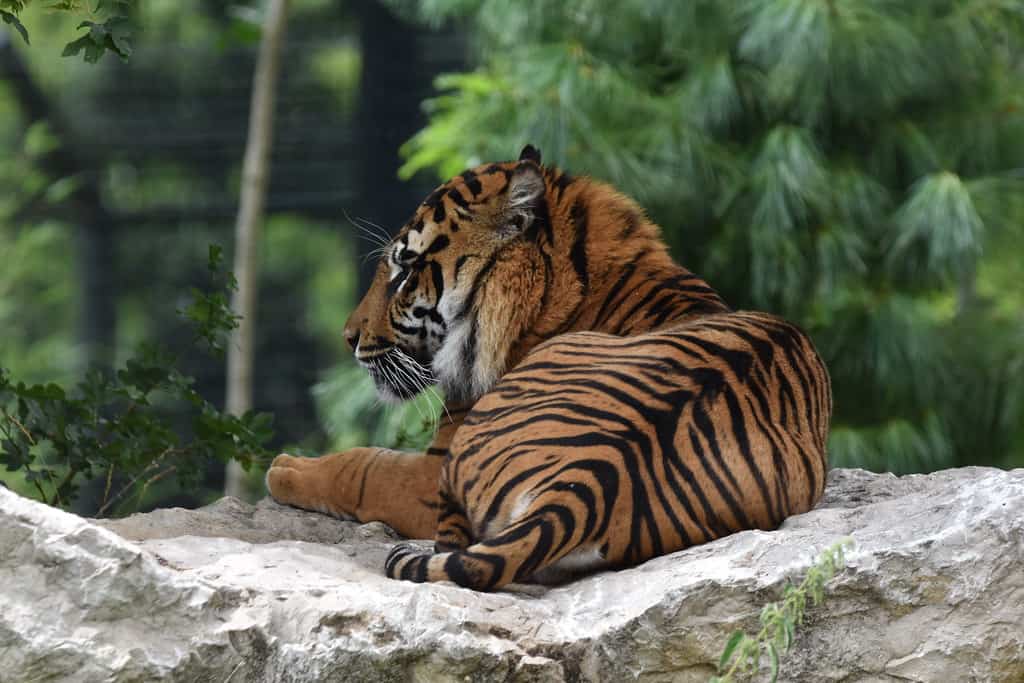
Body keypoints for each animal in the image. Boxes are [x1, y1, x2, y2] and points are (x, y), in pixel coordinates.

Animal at [268, 145, 835, 593]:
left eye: (405, 270)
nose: (348, 337)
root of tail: (585, 484)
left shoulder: (430, 470)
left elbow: (368, 466)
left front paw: (287, 469)